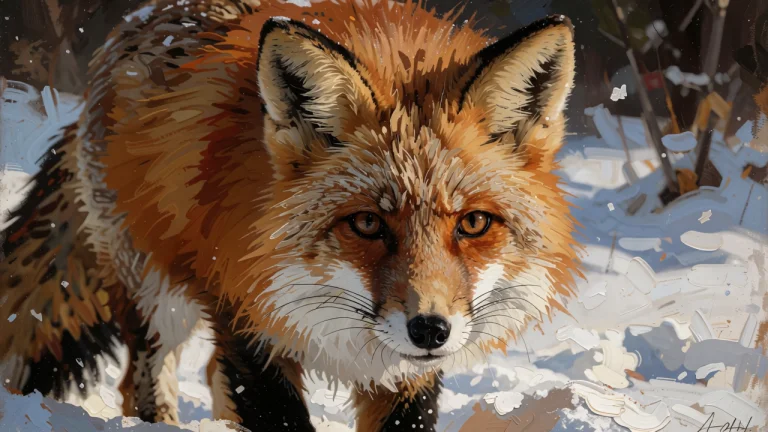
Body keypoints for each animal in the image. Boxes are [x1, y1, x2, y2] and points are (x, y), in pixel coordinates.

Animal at [0, 0, 580, 430]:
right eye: (367, 223)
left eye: (473, 224)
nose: (429, 330)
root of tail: (135, 20)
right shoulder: (244, 315)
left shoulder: (406, 374)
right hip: (156, 294)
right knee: (143, 382)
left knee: (208, 377)